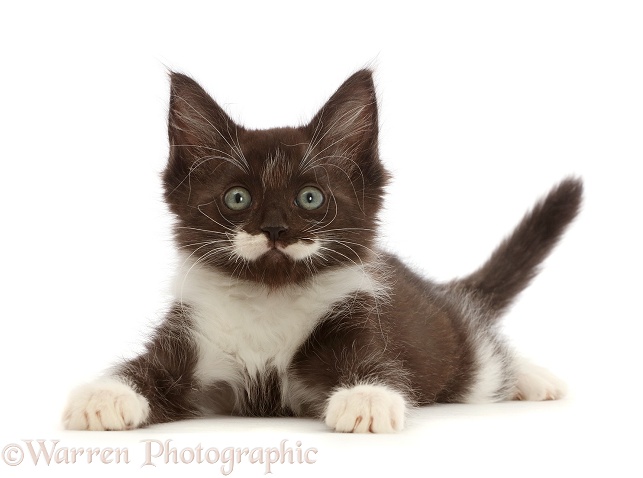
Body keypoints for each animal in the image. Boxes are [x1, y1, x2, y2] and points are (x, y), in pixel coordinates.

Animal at [63, 71, 580, 434]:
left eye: (309, 198)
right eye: (238, 198)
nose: (275, 229)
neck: (269, 295)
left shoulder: (362, 316)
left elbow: (379, 363)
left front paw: (366, 398)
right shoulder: (192, 333)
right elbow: (147, 368)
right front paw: (104, 395)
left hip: (458, 347)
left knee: (482, 362)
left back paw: (532, 378)